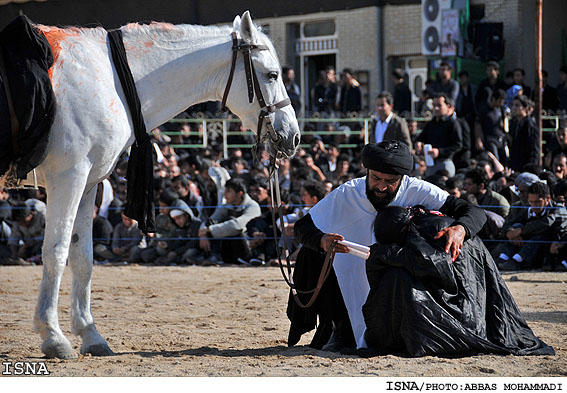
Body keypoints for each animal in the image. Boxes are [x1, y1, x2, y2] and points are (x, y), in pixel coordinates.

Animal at [22, 9, 300, 358]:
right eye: (273, 75)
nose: (294, 136)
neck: (110, 78)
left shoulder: (87, 182)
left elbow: (82, 256)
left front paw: (90, 333)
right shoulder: (68, 176)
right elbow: (57, 252)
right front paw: (53, 336)